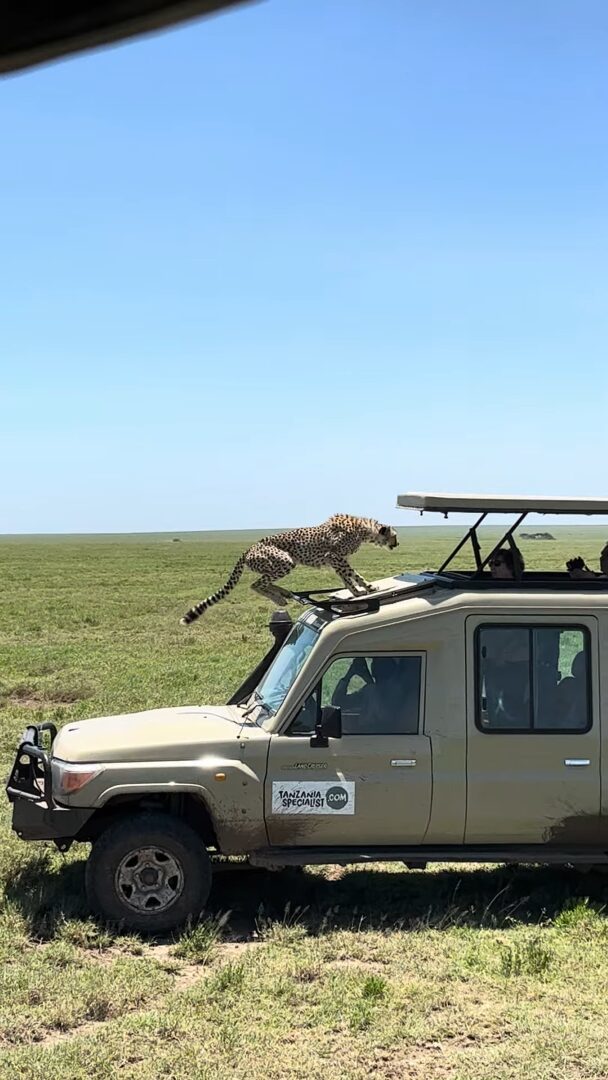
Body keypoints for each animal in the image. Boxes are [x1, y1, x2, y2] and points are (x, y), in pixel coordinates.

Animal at [180, 514, 399, 626]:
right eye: (394, 536)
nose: (397, 544)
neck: (364, 530)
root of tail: (249, 548)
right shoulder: (334, 556)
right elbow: (351, 575)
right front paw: (363, 590)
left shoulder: (337, 560)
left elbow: (350, 577)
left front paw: (362, 590)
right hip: (284, 560)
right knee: (256, 584)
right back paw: (279, 598)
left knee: (263, 582)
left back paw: (284, 594)